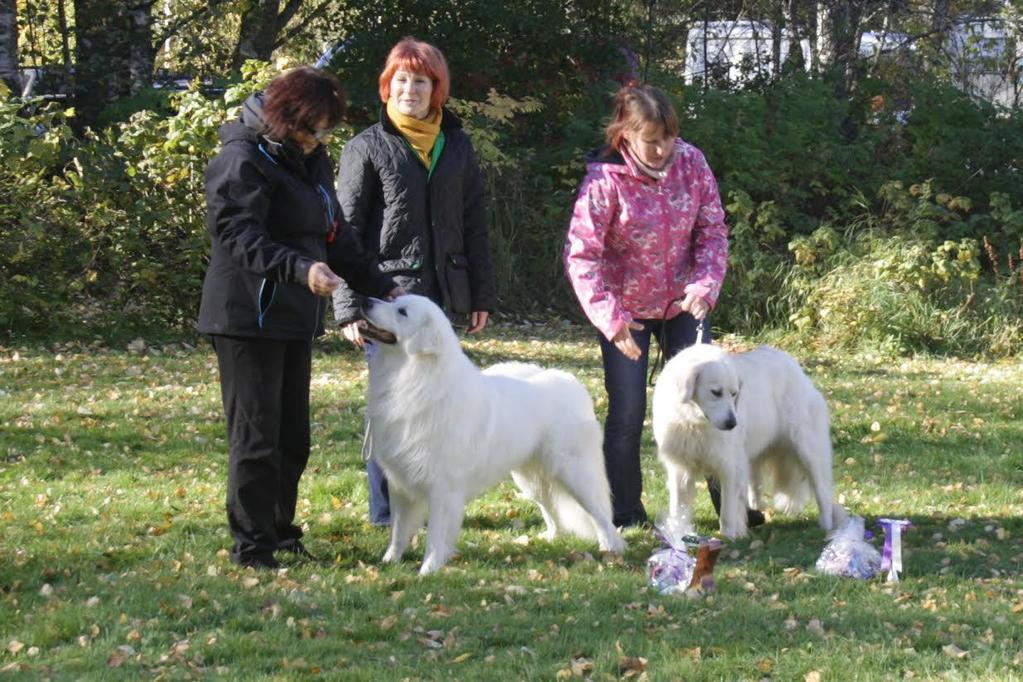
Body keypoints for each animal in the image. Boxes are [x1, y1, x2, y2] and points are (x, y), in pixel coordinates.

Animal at [356, 296, 626, 572]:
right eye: (393, 300)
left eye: (402, 312)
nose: (365, 301)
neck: (416, 378)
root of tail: (573, 384)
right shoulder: (400, 482)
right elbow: (398, 531)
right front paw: (389, 562)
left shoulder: (442, 487)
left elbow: (435, 536)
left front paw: (428, 570)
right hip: (530, 478)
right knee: (551, 509)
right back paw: (549, 537)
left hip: (573, 473)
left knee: (600, 513)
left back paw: (609, 549)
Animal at [654, 347, 847, 539]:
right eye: (716, 392)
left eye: (734, 394)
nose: (732, 423)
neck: (693, 422)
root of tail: (795, 367)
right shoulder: (679, 467)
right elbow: (677, 509)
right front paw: (677, 535)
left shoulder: (729, 467)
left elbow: (727, 512)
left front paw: (726, 538)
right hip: (753, 459)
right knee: (756, 490)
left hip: (808, 451)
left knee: (822, 492)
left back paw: (826, 527)